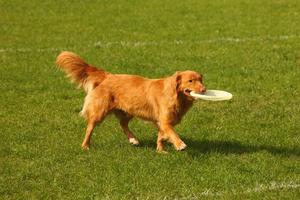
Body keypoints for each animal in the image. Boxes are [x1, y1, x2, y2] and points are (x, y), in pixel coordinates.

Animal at [55, 51, 206, 152]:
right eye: (190, 81)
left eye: (200, 80)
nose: (204, 89)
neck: (175, 95)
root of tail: (108, 76)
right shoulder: (165, 121)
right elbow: (172, 133)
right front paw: (180, 144)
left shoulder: (161, 121)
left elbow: (161, 135)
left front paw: (160, 150)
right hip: (100, 112)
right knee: (90, 127)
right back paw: (85, 145)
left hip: (129, 110)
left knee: (123, 124)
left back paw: (133, 139)